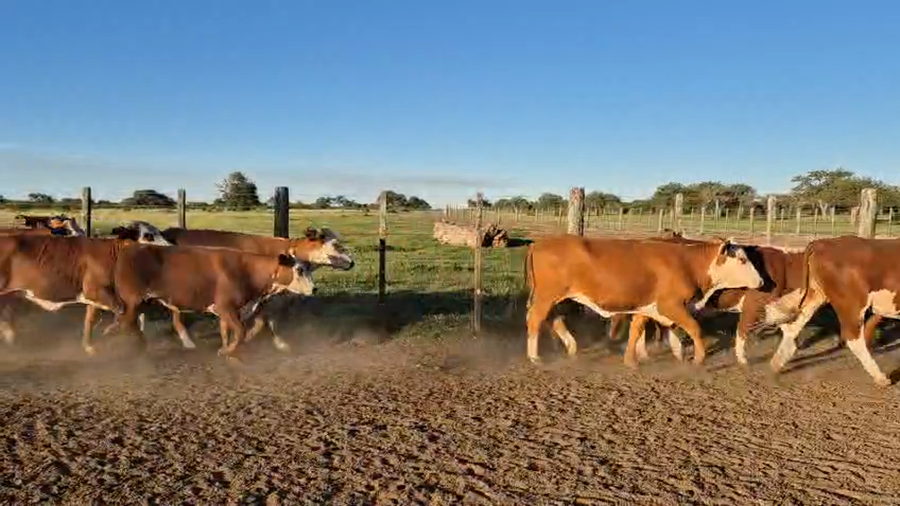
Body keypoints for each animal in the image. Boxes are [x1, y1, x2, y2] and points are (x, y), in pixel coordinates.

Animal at [110, 244, 316, 357]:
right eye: (299, 270)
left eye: (309, 267)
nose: (315, 289)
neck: (247, 270)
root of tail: (129, 248)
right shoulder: (226, 307)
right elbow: (240, 331)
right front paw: (227, 351)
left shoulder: (235, 310)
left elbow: (234, 331)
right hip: (133, 301)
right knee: (126, 324)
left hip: (141, 303)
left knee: (128, 323)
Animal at [524, 234, 764, 366]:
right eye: (742, 259)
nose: (761, 281)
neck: (686, 263)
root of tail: (537, 243)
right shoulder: (670, 305)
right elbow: (694, 328)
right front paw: (698, 358)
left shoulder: (644, 307)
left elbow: (636, 331)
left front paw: (632, 360)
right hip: (547, 296)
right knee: (535, 319)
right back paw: (535, 357)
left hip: (555, 298)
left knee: (553, 318)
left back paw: (571, 347)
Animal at [766, 235, 900, 387]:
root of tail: (822, 243)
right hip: (851, 301)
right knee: (852, 337)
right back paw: (880, 377)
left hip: (817, 293)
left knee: (795, 324)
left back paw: (777, 363)